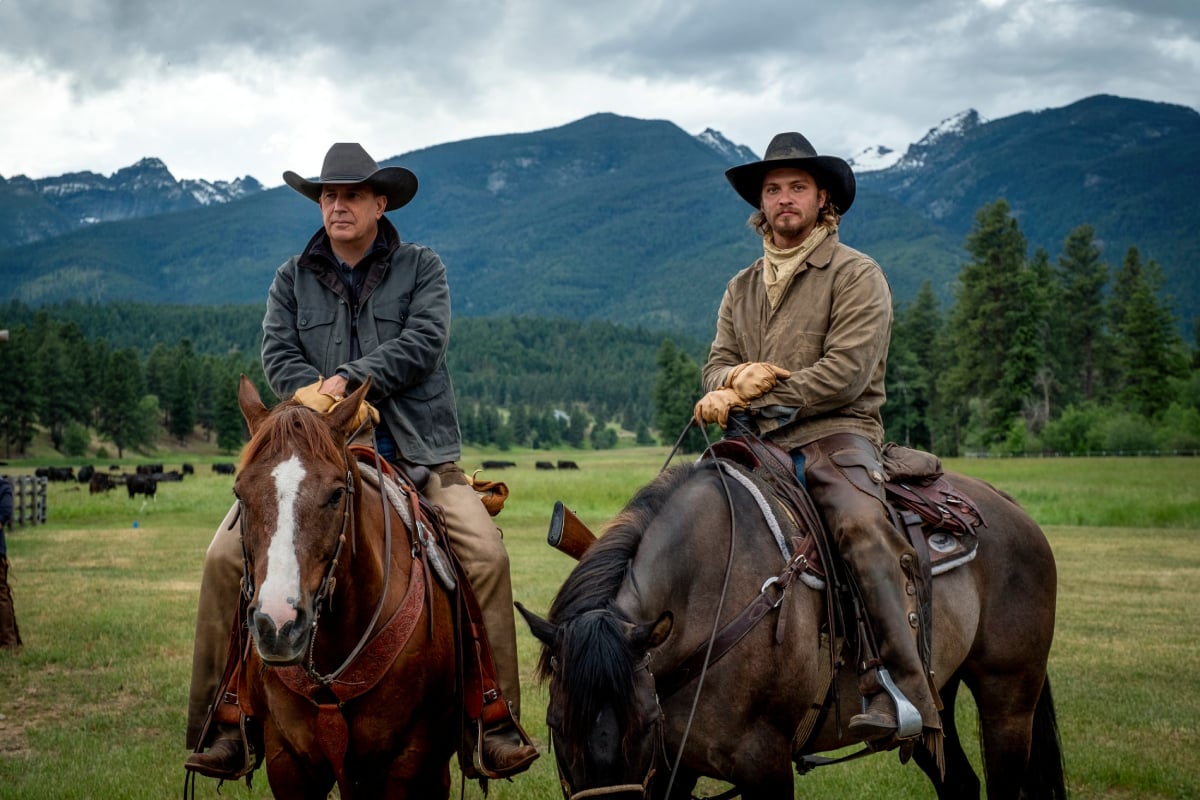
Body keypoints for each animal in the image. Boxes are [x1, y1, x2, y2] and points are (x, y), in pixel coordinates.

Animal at [520, 460, 1065, 800]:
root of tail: (1008, 506)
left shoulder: (764, 764)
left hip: (1008, 701)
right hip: (937, 702)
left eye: (645, 722)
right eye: (554, 724)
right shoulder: (673, 767)